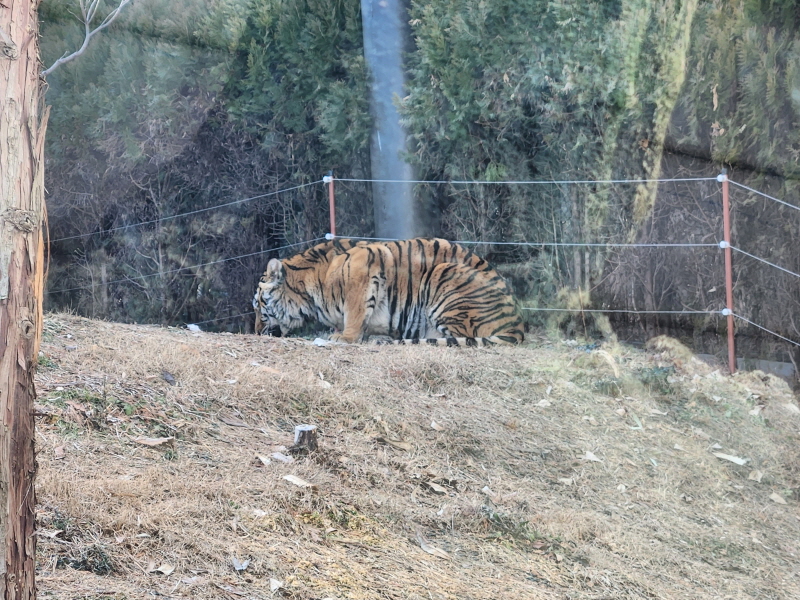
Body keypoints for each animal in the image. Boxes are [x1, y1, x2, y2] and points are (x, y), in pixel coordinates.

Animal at [252, 237, 524, 344]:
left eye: (258, 306)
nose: (255, 332)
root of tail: (518, 325)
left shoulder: (365, 262)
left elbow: (355, 311)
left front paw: (345, 337)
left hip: (444, 273)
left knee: (457, 336)